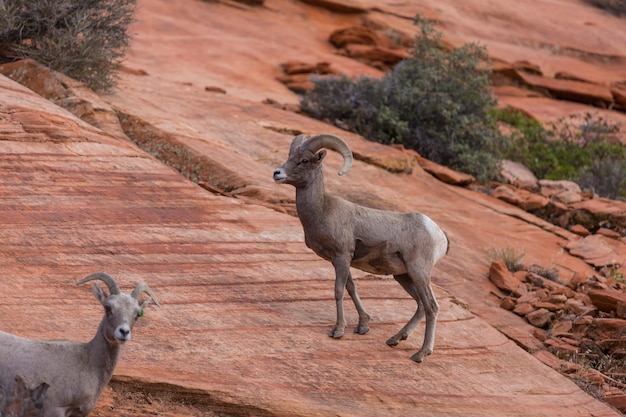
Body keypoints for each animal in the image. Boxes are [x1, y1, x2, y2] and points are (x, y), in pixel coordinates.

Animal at [270, 132, 446, 360]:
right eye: (290, 156)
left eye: (305, 160)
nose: (277, 173)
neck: (322, 210)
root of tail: (439, 236)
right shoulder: (339, 260)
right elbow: (351, 288)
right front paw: (363, 326)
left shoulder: (342, 256)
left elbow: (338, 290)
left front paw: (338, 331)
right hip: (404, 276)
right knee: (421, 305)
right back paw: (395, 339)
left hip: (419, 272)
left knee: (431, 306)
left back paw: (421, 354)